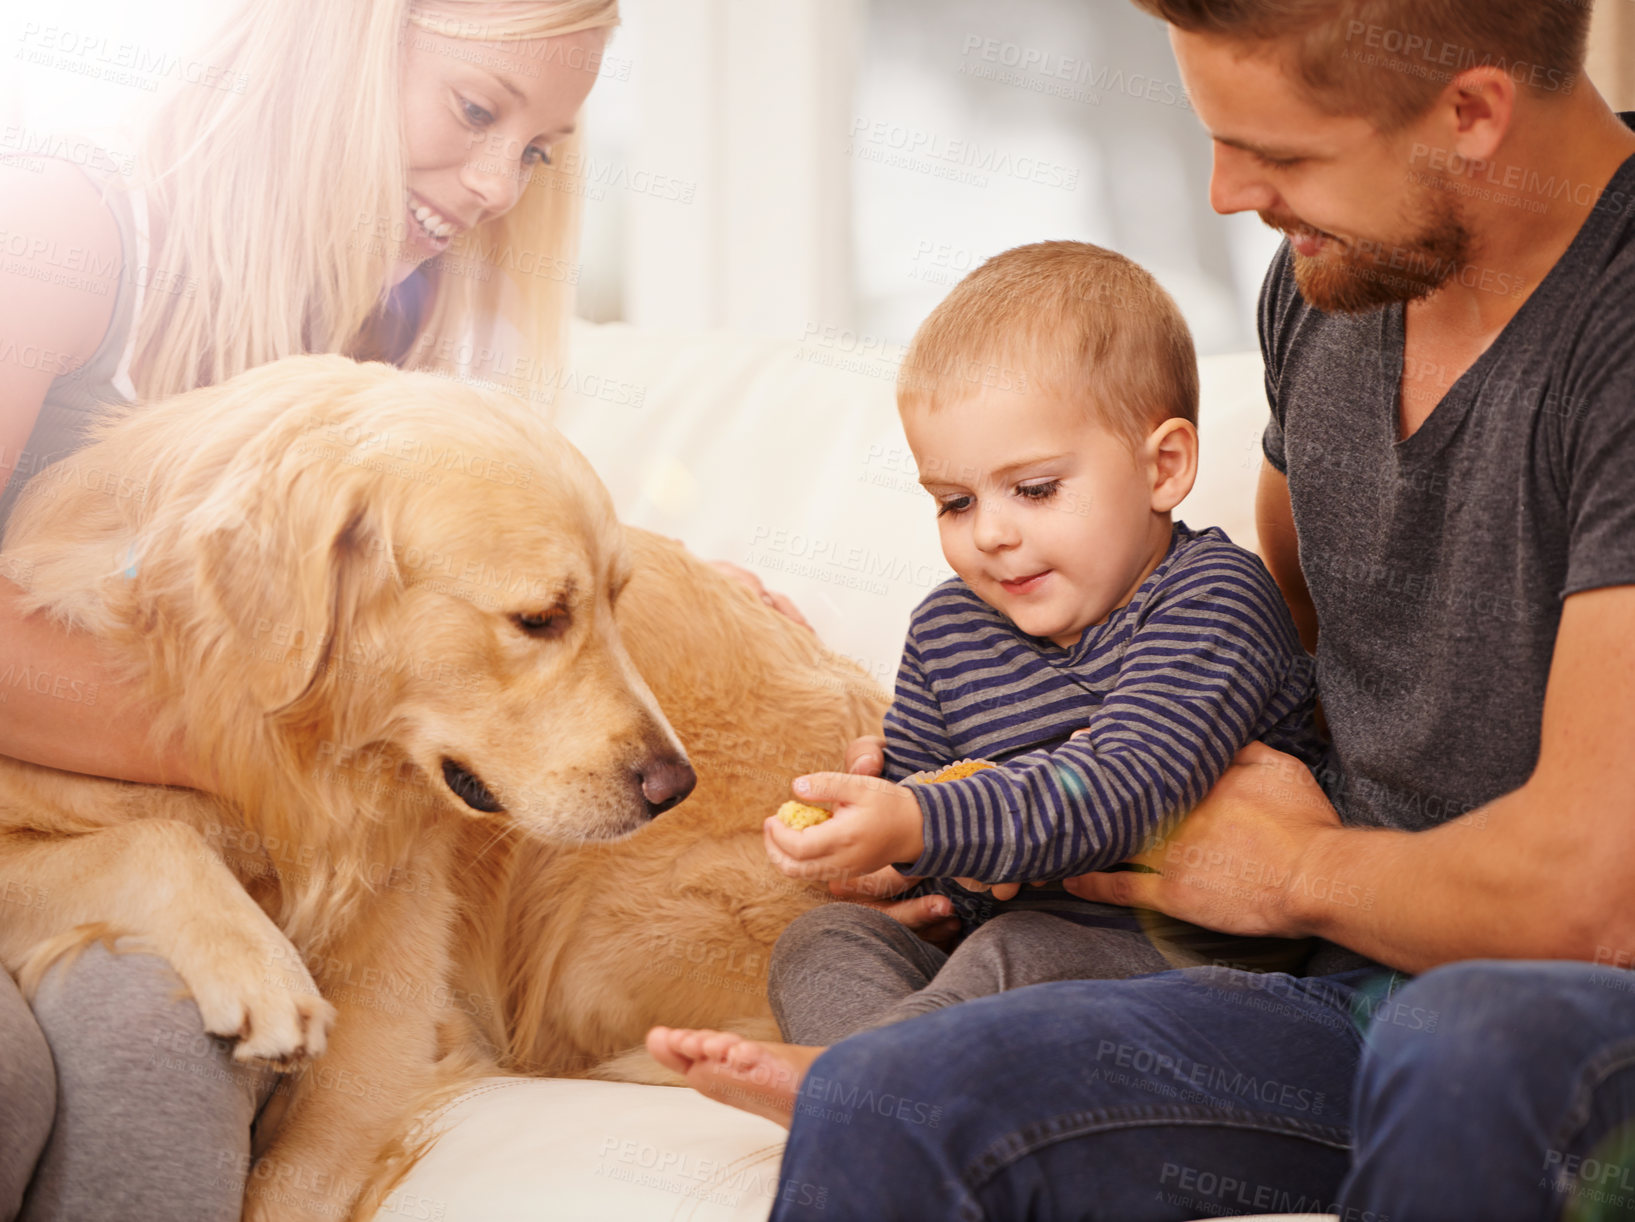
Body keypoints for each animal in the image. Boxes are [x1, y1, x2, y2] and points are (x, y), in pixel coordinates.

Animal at [0, 348, 889, 1217]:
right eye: (540, 618)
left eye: (617, 603)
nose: (676, 786)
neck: (291, 772)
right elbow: (151, 836)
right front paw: (258, 966)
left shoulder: (398, 1004)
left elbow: (299, 1176)